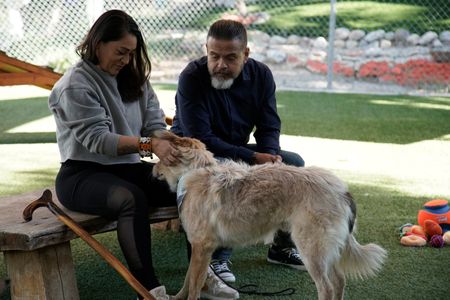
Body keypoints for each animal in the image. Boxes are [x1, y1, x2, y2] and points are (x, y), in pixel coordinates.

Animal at [154, 132, 386, 300]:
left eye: (160, 158)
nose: (152, 169)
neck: (194, 172)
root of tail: (342, 190)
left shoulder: (203, 247)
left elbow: (194, 285)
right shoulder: (199, 248)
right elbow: (187, 280)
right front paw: (176, 297)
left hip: (311, 249)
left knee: (327, 287)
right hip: (325, 251)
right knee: (339, 281)